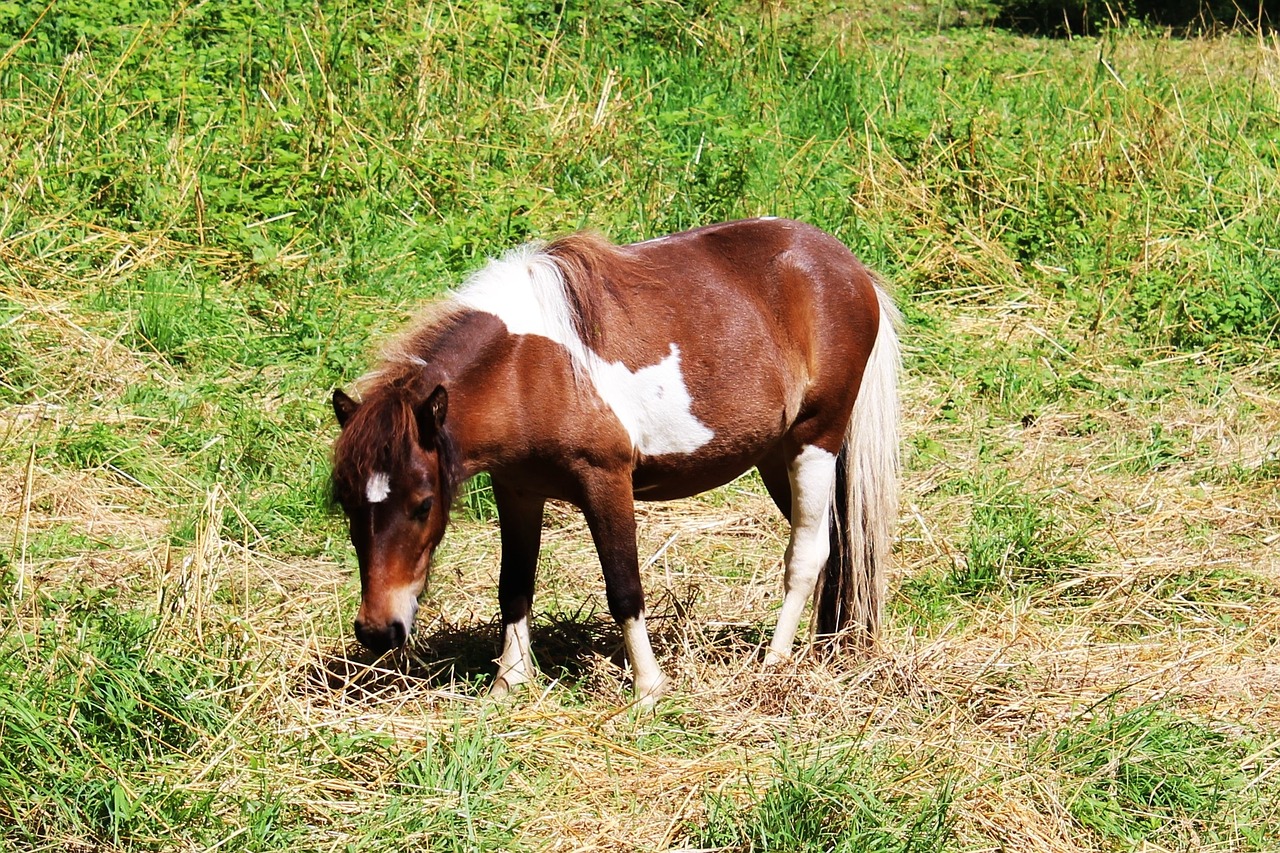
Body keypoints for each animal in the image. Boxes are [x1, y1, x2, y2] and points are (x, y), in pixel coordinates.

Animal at [335, 216, 906, 701]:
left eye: (423, 504)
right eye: (346, 504)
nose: (377, 630)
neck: (524, 369)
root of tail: (849, 269)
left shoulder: (605, 481)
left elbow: (624, 588)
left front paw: (648, 689)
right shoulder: (516, 489)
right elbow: (514, 584)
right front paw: (507, 684)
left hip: (816, 440)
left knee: (807, 554)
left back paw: (775, 662)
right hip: (777, 455)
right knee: (836, 545)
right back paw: (829, 646)